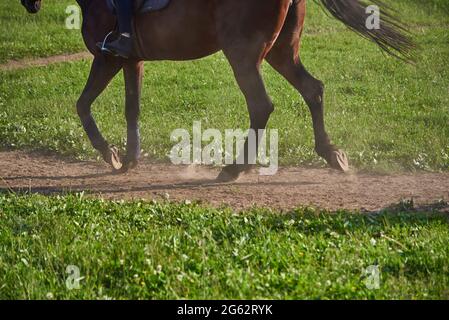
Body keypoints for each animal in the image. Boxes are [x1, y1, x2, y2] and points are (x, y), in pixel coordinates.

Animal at [21, 0, 412, 180]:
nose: (29, 4)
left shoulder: (107, 58)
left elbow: (82, 104)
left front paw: (110, 154)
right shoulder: (131, 60)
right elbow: (132, 108)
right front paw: (128, 158)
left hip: (243, 54)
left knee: (261, 105)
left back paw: (235, 168)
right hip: (282, 52)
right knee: (312, 89)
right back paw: (333, 155)